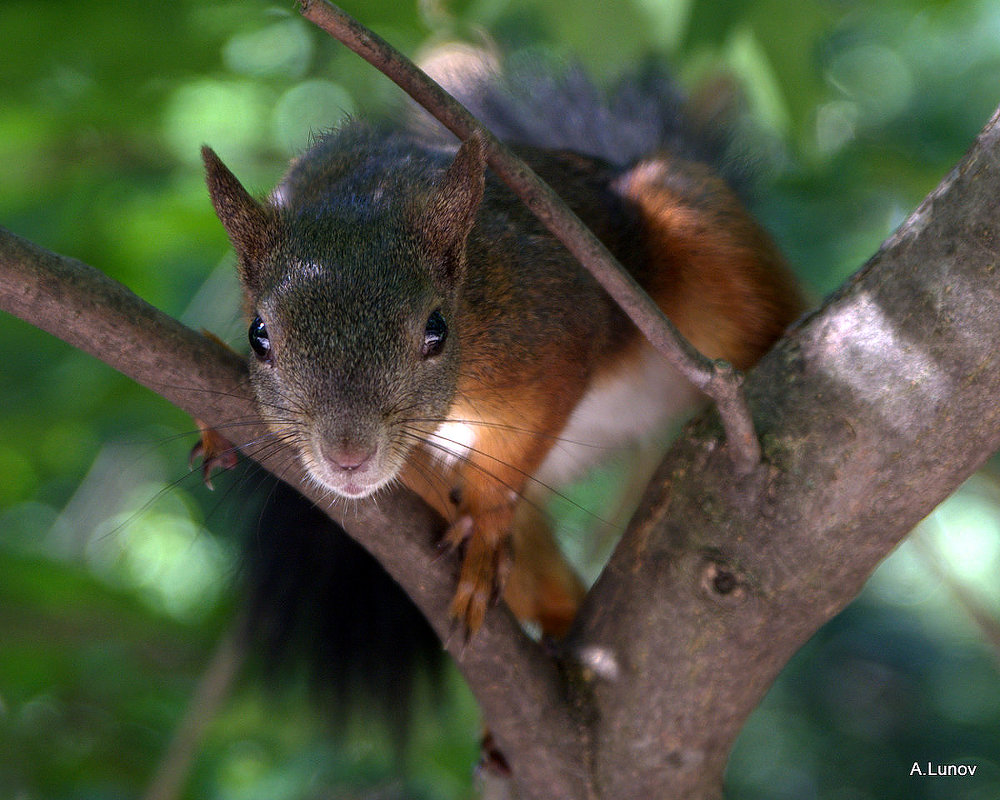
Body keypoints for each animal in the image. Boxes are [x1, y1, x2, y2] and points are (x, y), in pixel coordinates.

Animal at [197, 51, 804, 648]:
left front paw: (487, 520)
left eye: (436, 331)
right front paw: (217, 418)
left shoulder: (552, 330)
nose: (348, 457)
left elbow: (527, 427)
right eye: (258, 336)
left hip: (693, 223)